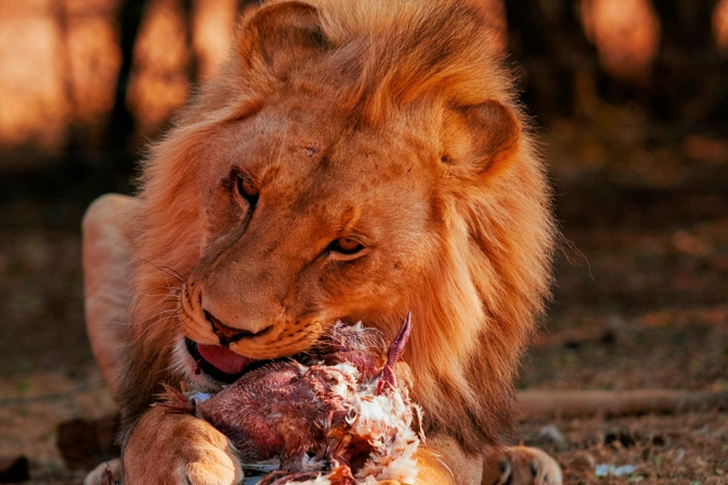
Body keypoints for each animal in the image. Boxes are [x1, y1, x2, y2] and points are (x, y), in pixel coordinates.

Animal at [82, 0, 561, 484]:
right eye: (246, 188)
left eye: (347, 245)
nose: (225, 328)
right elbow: (157, 425)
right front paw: (191, 461)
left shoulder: (450, 416)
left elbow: (439, 457)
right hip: (101, 211)